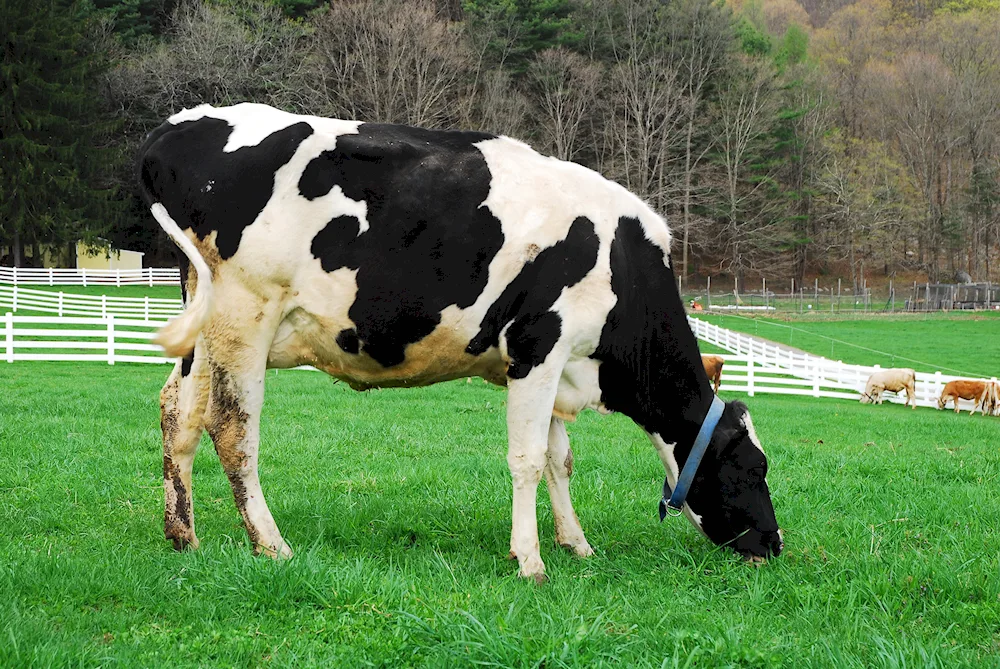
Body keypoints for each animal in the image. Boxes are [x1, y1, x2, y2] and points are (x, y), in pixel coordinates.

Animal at [137, 104, 784, 580]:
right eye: (754, 466)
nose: (774, 545)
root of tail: (176, 126)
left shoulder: (550, 364)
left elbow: (560, 459)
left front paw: (577, 544)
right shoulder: (539, 347)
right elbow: (528, 459)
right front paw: (530, 561)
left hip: (206, 322)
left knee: (178, 412)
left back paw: (184, 536)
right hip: (245, 310)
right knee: (232, 428)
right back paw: (271, 545)